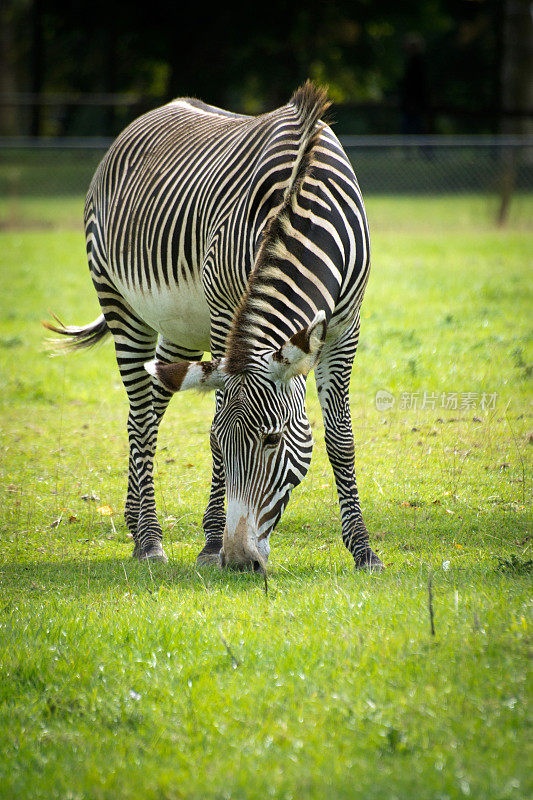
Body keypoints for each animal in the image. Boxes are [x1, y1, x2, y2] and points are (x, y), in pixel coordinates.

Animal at [42, 81, 382, 572]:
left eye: (273, 439)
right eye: (223, 443)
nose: (239, 560)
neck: (300, 198)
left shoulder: (344, 327)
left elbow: (340, 438)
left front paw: (363, 551)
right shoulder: (226, 316)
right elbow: (216, 418)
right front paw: (210, 544)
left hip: (179, 333)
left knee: (147, 408)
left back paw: (132, 519)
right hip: (122, 305)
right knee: (142, 419)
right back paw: (149, 539)